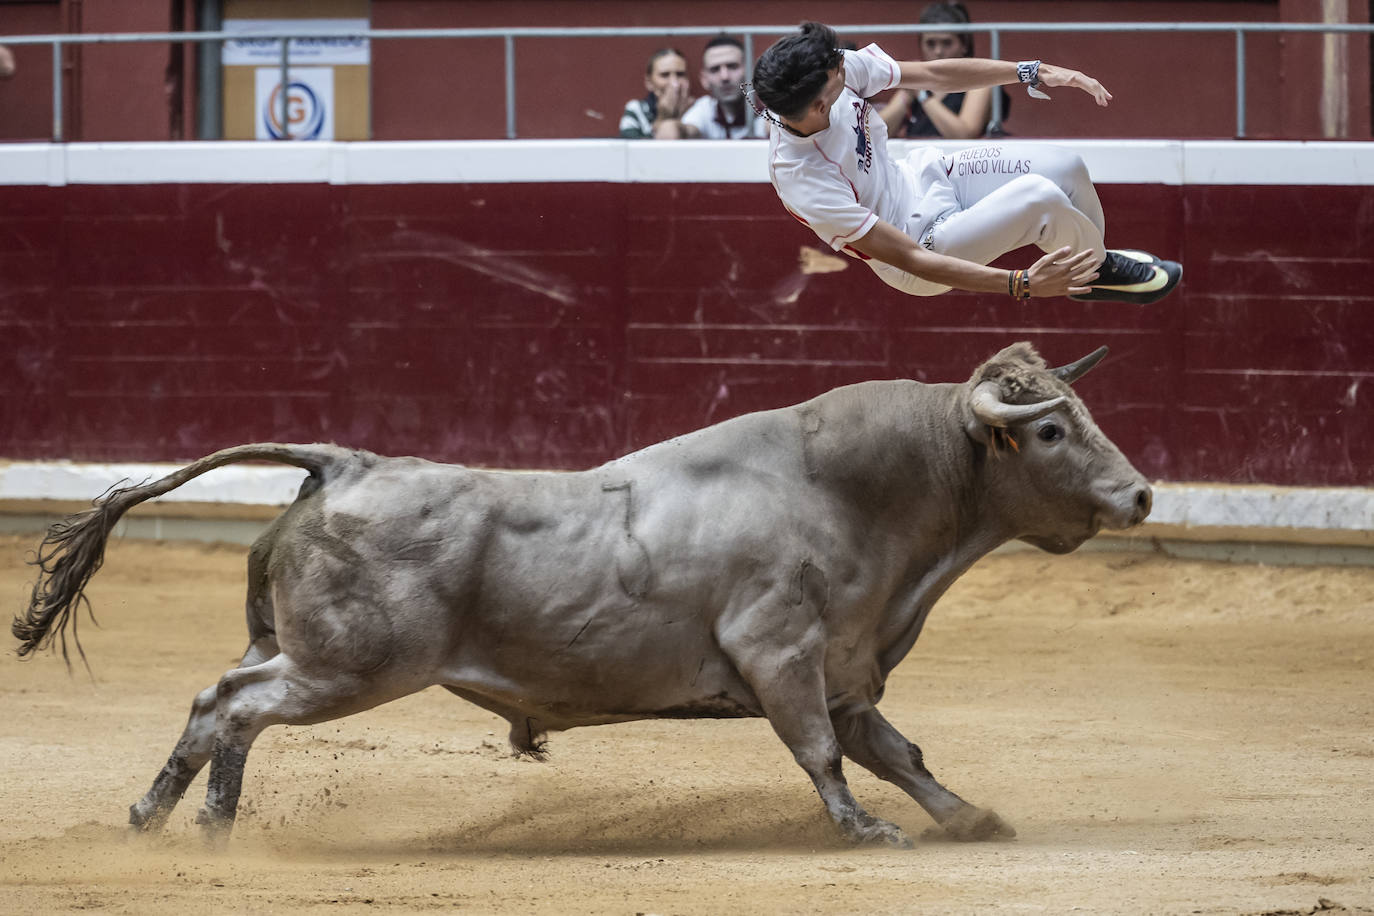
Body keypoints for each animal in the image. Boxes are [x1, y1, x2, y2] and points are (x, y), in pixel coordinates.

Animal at [10, 340, 1148, 851]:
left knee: (234, 710)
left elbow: (898, 751)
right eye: (1053, 428)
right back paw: (152, 817)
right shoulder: (781, 653)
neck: (848, 490)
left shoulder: (844, 666)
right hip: (348, 668)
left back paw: (210, 825)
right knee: (224, 704)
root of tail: (345, 462)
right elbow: (823, 752)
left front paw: (968, 817)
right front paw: (866, 832)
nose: (1140, 492)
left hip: (296, 651)